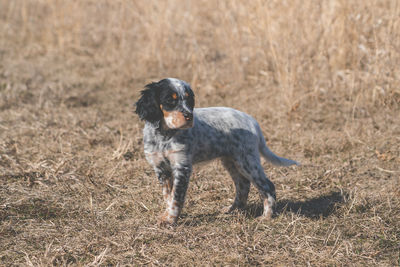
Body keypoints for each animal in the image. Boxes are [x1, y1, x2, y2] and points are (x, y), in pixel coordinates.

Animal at [136, 78, 298, 226]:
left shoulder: (182, 166)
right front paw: (166, 216)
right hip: (231, 160)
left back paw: (266, 216)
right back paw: (233, 209)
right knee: (243, 184)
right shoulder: (161, 168)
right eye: (170, 100)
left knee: (267, 186)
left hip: (247, 161)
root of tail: (252, 120)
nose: (189, 116)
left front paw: (170, 219)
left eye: (189, 100)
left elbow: (176, 197)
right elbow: (168, 196)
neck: (164, 135)